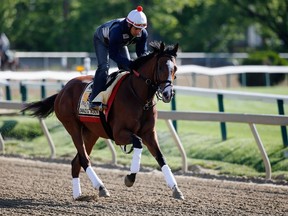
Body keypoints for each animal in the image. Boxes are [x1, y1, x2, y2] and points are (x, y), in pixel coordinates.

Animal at [22, 41, 184, 201]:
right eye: (161, 67)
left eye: (175, 68)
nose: (168, 93)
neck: (139, 97)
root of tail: (62, 91)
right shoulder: (119, 134)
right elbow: (138, 143)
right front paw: (130, 178)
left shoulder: (149, 133)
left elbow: (161, 157)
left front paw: (176, 189)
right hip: (72, 126)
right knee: (84, 159)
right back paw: (101, 187)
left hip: (91, 133)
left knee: (76, 162)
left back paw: (78, 195)